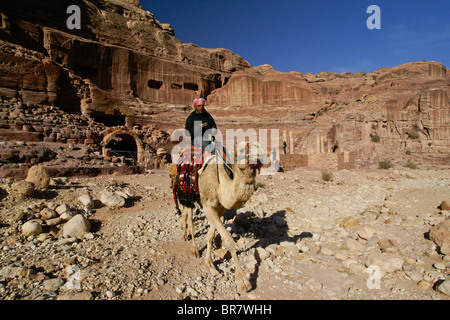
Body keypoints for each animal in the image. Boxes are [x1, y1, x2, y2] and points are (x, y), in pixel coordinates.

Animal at [175, 142, 264, 292]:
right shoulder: (208, 207)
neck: (221, 185)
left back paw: (185, 234)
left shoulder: (220, 208)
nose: (260, 156)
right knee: (189, 217)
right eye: (242, 149)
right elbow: (228, 240)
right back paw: (192, 246)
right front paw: (243, 281)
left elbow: (210, 236)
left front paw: (209, 264)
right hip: (186, 194)